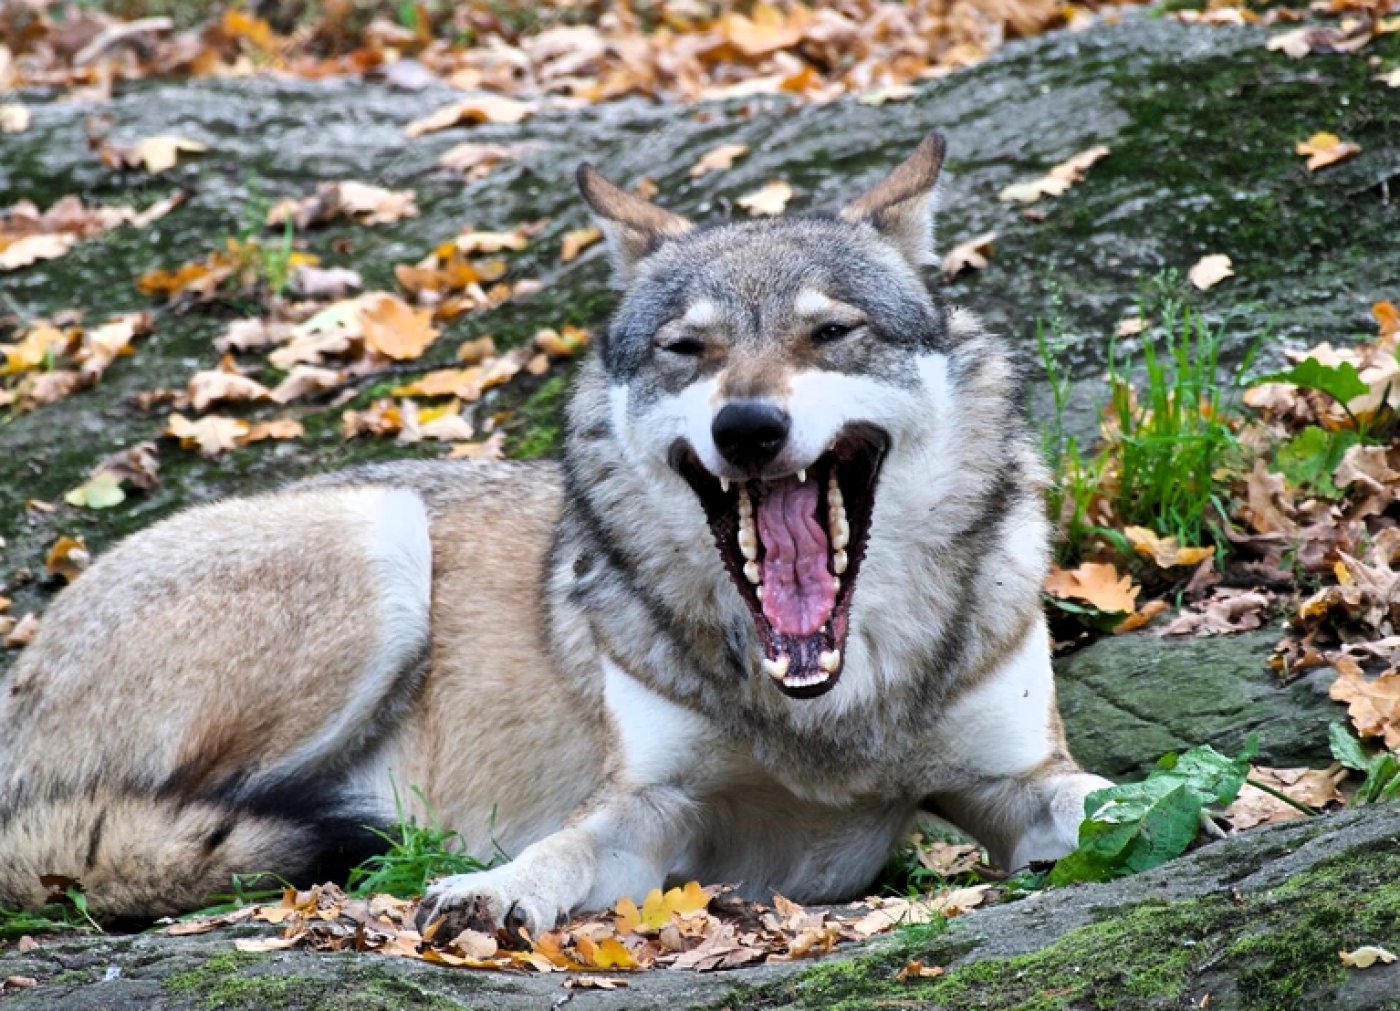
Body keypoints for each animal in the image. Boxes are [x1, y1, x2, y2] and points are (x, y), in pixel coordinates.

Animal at [0, 133, 1108, 936]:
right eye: (686, 348)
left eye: (831, 333)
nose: (747, 429)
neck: (826, 712)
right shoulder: (652, 812)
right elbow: (561, 851)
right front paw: (491, 889)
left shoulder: (1015, 783)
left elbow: (1103, 800)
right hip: (381, 545)